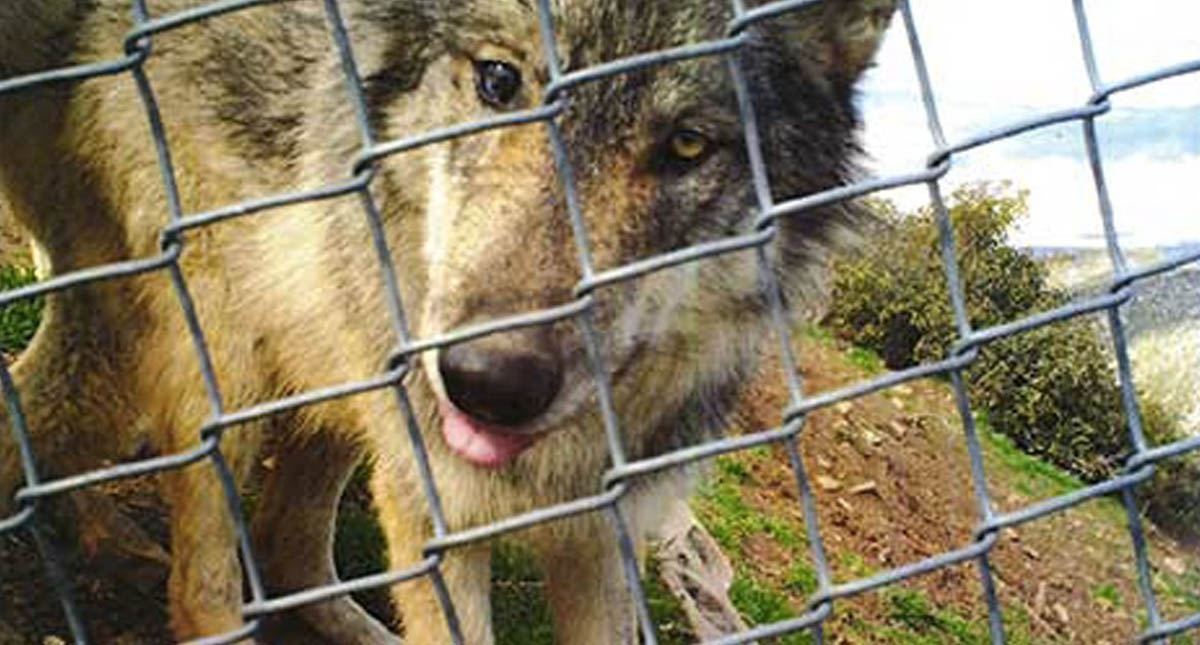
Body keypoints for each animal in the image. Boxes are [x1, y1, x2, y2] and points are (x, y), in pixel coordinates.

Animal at [0, 0, 893, 642]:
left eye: (687, 145)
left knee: (286, 543)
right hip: (235, 363)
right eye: (499, 83)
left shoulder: (601, 531)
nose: (489, 383)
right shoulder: (442, 512)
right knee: (201, 579)